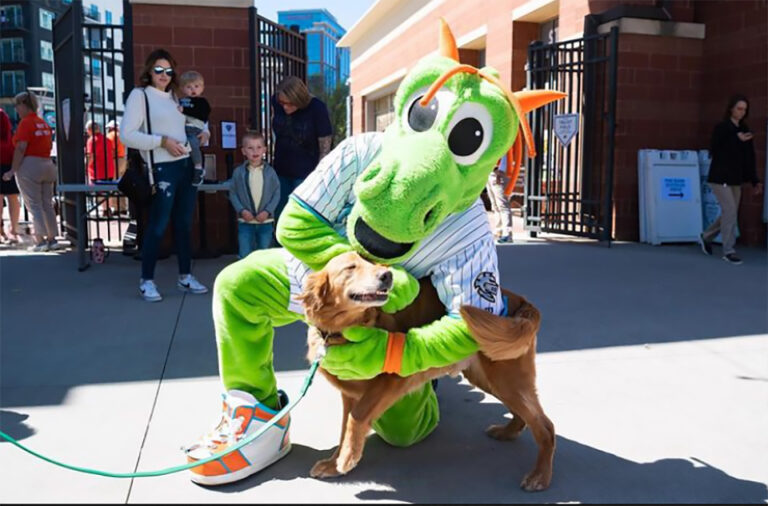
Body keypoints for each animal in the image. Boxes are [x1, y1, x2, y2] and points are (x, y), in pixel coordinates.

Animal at [296, 251, 556, 492]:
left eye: (373, 263)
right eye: (350, 267)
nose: (387, 275)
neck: (338, 331)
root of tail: (518, 299)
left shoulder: (392, 381)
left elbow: (356, 418)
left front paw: (347, 459)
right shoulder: (349, 394)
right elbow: (343, 429)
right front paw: (335, 463)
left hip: (506, 379)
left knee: (545, 426)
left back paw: (539, 476)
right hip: (489, 379)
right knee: (524, 415)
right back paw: (508, 432)